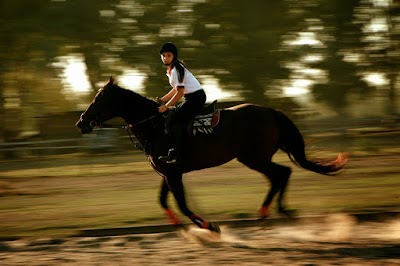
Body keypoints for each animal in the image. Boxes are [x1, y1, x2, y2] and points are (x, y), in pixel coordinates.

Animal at [76, 77, 346, 233]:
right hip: (255, 159)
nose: (81, 123)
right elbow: (164, 201)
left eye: (98, 100)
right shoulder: (168, 173)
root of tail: (271, 112)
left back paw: (275, 211)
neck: (154, 125)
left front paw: (209, 226)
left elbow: (183, 204)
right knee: (279, 176)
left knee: (282, 173)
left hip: (254, 158)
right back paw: (269, 212)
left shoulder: (173, 173)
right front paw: (180, 226)